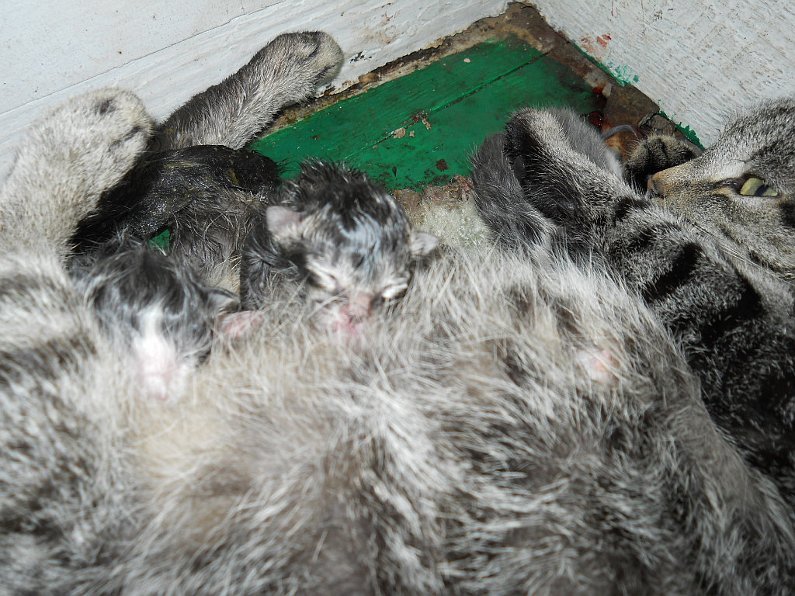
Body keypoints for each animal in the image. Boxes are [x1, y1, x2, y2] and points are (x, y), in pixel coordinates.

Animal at [471, 102, 795, 507]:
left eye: (759, 187)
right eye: (719, 144)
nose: (659, 184)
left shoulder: (753, 345)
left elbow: (633, 221)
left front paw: (540, 143)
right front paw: (663, 155)